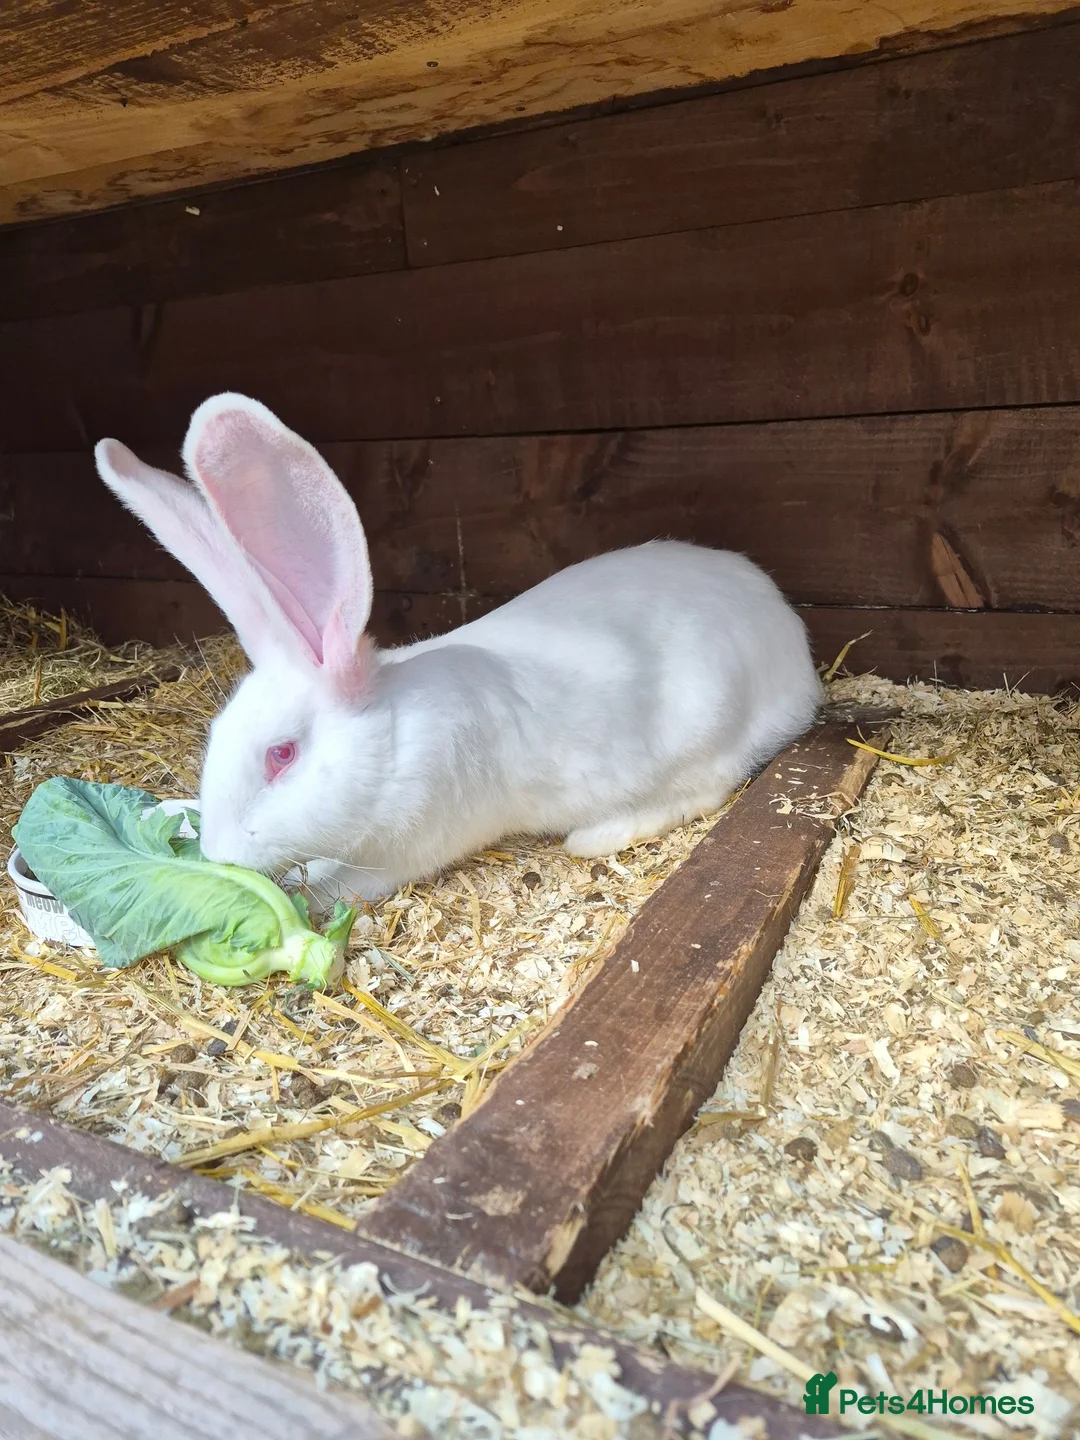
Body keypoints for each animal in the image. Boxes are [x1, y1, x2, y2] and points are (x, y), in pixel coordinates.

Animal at [94, 393, 822, 905]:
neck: (389, 733)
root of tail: (789, 638)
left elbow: (346, 885)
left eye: (282, 755)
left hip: (706, 721)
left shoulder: (406, 844)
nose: (218, 855)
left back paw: (599, 834)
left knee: (708, 788)